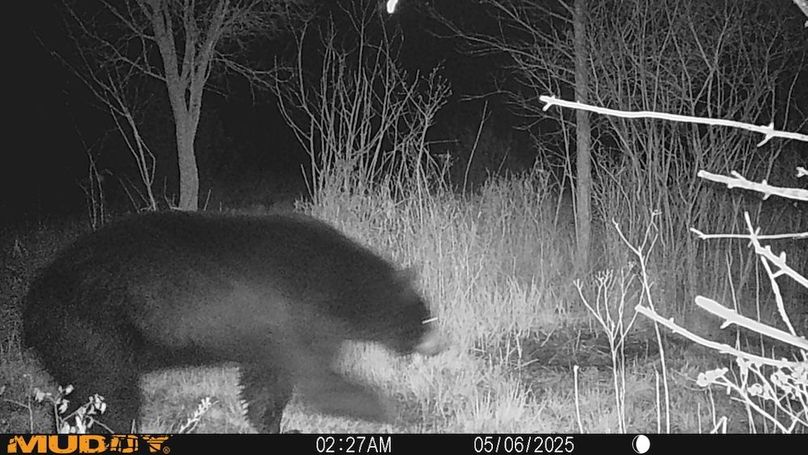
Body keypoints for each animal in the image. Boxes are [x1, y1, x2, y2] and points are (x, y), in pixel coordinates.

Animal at [22, 211, 445, 433]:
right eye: (425, 316)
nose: (441, 344)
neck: (343, 286)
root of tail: (34, 301)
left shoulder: (268, 334)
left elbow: (263, 382)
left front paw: (266, 423)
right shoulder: (299, 318)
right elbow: (317, 381)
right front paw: (394, 412)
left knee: (81, 393)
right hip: (93, 331)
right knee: (112, 391)